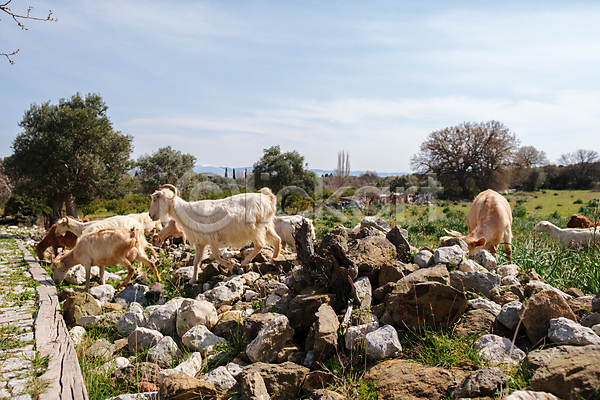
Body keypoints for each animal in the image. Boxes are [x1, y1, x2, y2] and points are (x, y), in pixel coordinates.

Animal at [150, 184, 282, 282]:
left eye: (155, 199)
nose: (150, 215)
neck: (186, 212)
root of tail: (268, 199)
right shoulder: (201, 242)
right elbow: (196, 261)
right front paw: (193, 280)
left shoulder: (212, 238)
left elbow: (215, 256)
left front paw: (230, 266)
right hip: (266, 226)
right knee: (277, 240)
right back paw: (273, 261)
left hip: (254, 229)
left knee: (260, 244)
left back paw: (244, 262)